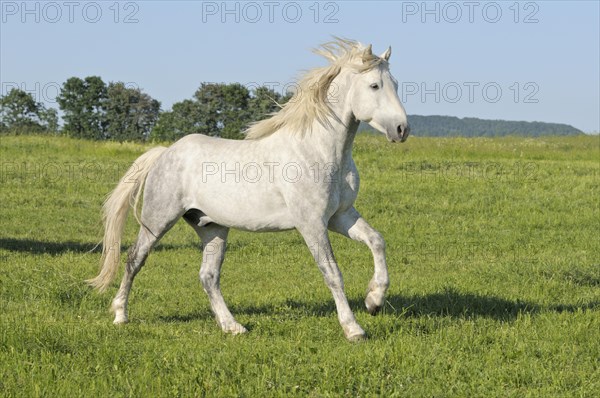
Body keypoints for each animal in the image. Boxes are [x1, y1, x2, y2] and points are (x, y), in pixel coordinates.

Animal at [89, 38, 408, 340]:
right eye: (374, 85)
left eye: (394, 83)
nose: (402, 129)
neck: (319, 151)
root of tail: (165, 152)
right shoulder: (312, 224)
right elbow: (332, 273)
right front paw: (353, 329)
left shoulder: (340, 216)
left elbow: (377, 241)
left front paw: (374, 300)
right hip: (158, 220)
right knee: (134, 260)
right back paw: (120, 315)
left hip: (212, 227)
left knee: (208, 276)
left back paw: (232, 327)